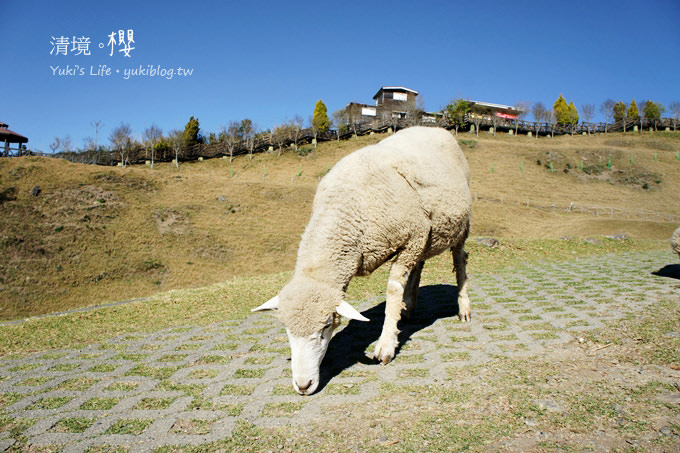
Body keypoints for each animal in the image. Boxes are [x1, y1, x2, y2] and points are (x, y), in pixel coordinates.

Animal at [252, 125, 470, 394]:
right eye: (287, 329)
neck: (346, 210)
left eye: (326, 326)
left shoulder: (413, 235)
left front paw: (386, 345)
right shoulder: (417, 238)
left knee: (459, 260)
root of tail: (434, 128)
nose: (303, 385)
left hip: (460, 225)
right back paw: (409, 307)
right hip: (428, 236)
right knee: (418, 265)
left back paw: (464, 308)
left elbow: (393, 289)